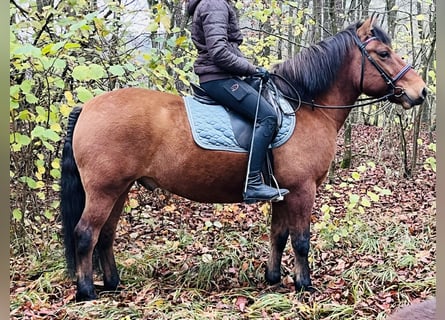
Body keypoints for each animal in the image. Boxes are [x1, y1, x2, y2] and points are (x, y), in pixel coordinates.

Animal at [59, 16, 426, 302]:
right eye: (383, 53)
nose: (420, 91)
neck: (305, 107)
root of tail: (88, 106)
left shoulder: (284, 192)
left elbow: (278, 234)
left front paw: (274, 278)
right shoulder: (303, 190)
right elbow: (301, 240)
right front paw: (304, 285)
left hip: (120, 189)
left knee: (106, 234)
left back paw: (112, 283)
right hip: (104, 190)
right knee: (86, 234)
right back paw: (86, 292)